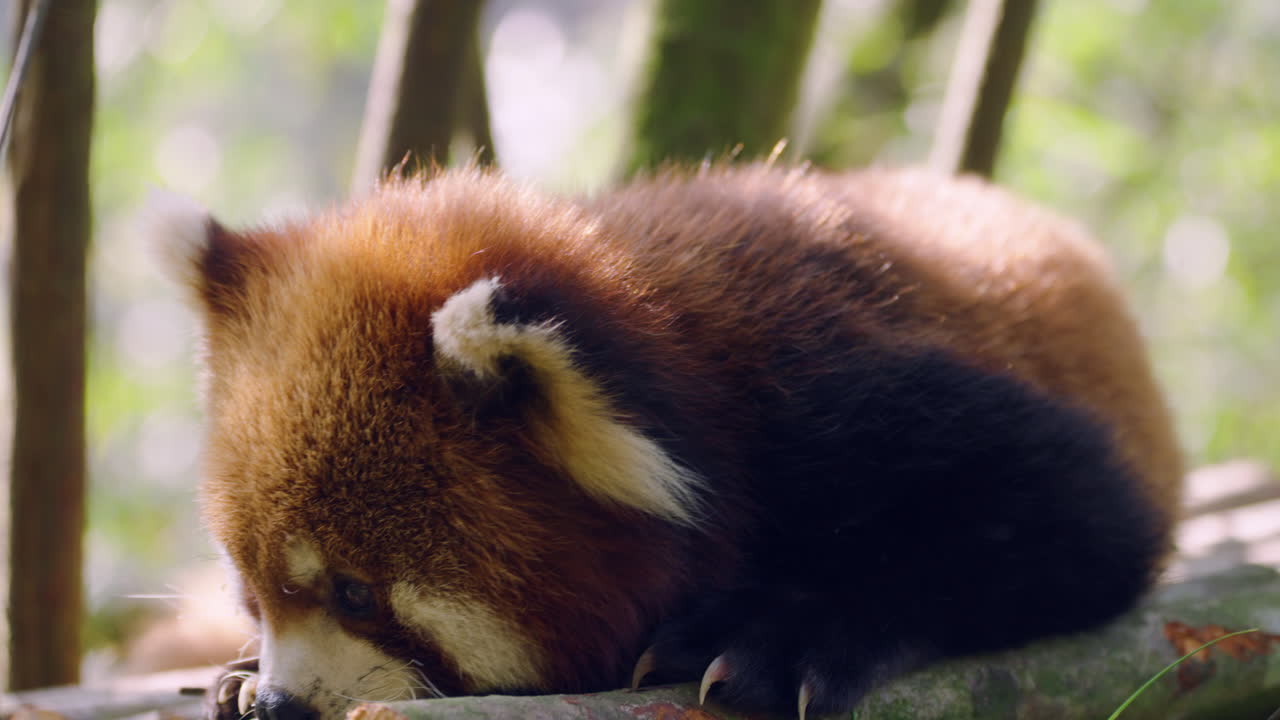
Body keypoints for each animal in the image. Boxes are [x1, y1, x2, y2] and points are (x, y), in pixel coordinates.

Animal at [151, 164, 1182, 720]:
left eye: (357, 593)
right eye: (249, 591)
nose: (283, 704)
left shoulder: (852, 404)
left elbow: (1079, 523)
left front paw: (780, 635)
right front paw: (236, 674)